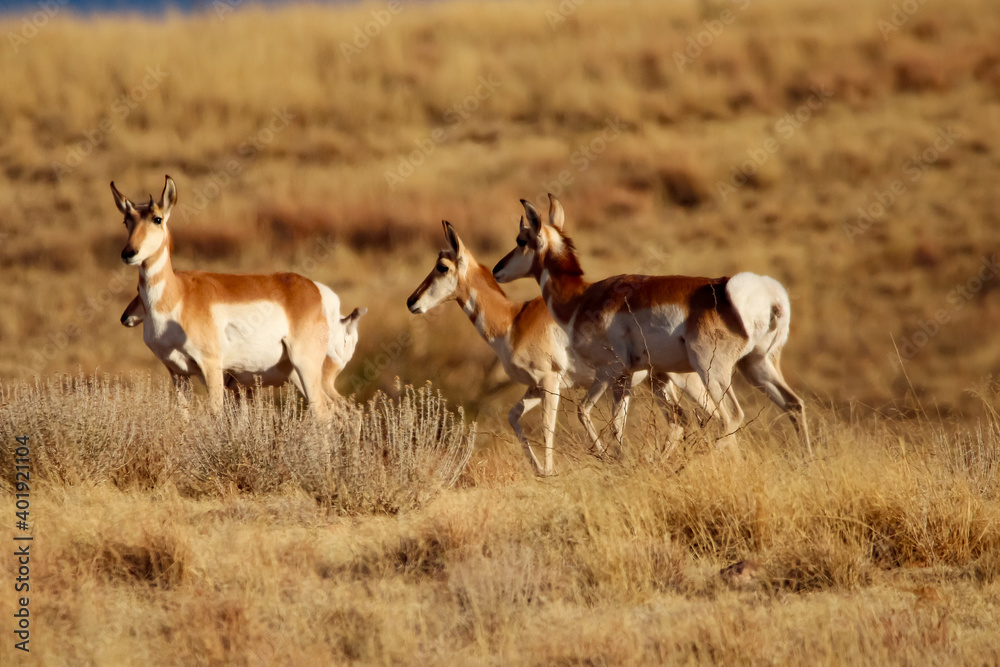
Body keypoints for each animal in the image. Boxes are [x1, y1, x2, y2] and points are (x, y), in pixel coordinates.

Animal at [112, 177, 368, 418]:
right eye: (126, 221)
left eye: (157, 219)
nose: (129, 253)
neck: (178, 295)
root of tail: (318, 292)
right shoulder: (178, 374)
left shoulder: (212, 369)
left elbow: (215, 415)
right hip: (302, 378)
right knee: (347, 412)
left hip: (307, 369)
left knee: (324, 415)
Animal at [406, 222, 712, 478]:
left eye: (442, 266)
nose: (411, 301)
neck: (513, 320)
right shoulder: (533, 387)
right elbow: (513, 417)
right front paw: (540, 470)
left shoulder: (549, 381)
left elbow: (547, 427)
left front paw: (552, 470)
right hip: (658, 381)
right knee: (679, 421)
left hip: (686, 380)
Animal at [492, 193, 812, 456]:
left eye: (521, 240)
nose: (496, 269)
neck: (582, 297)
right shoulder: (624, 379)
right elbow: (616, 426)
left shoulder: (608, 371)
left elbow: (583, 412)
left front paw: (606, 458)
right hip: (756, 365)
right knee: (794, 404)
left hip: (712, 371)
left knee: (731, 416)